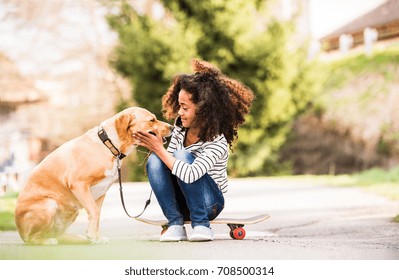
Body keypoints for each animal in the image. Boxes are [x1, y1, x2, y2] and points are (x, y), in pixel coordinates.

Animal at [14, 107, 173, 245]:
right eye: (152, 120)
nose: (172, 127)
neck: (108, 145)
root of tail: (20, 233)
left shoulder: (101, 193)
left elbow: (97, 215)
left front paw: (96, 238)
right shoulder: (79, 184)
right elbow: (94, 212)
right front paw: (91, 236)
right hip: (50, 204)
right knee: (31, 239)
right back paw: (46, 241)